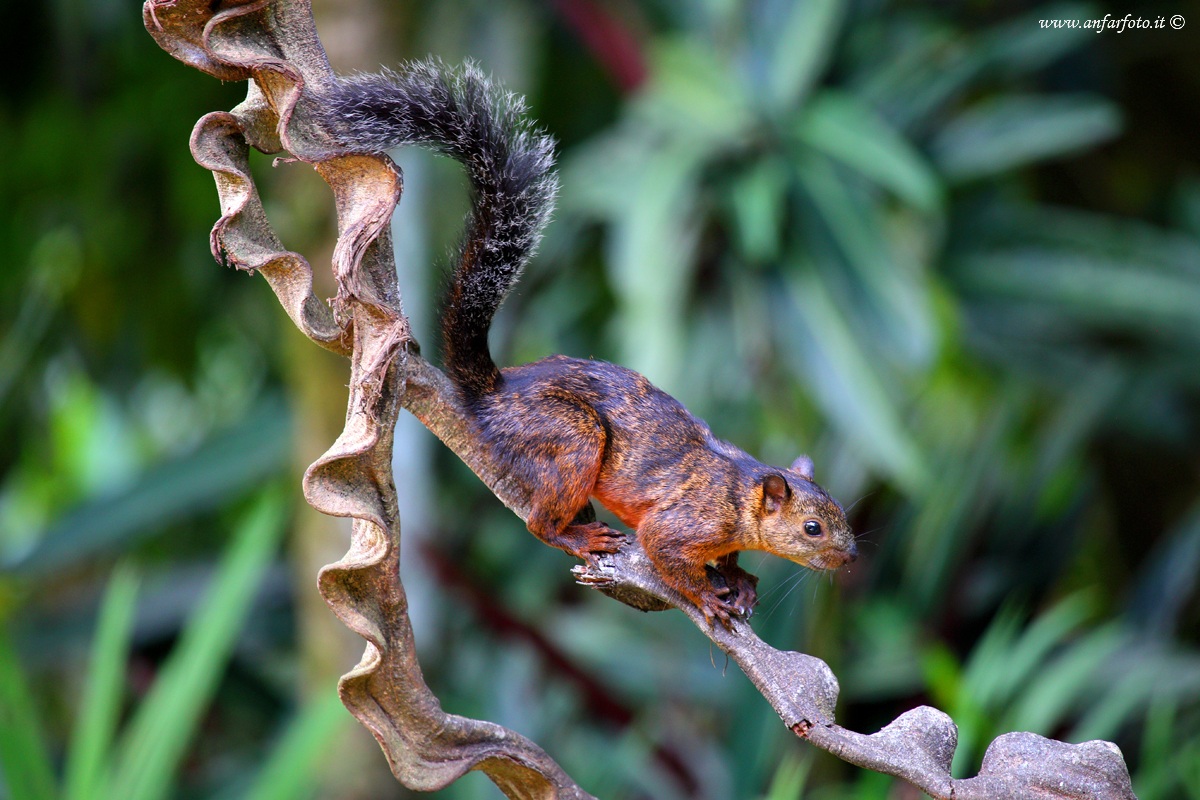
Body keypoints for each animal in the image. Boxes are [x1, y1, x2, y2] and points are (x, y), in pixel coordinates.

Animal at [320, 59, 857, 627]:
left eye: (840, 514)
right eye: (813, 529)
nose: (850, 556)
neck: (740, 492)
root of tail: (495, 393)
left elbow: (728, 559)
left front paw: (740, 579)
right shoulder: (685, 522)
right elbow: (667, 555)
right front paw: (709, 596)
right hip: (569, 438)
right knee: (539, 524)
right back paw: (575, 535)